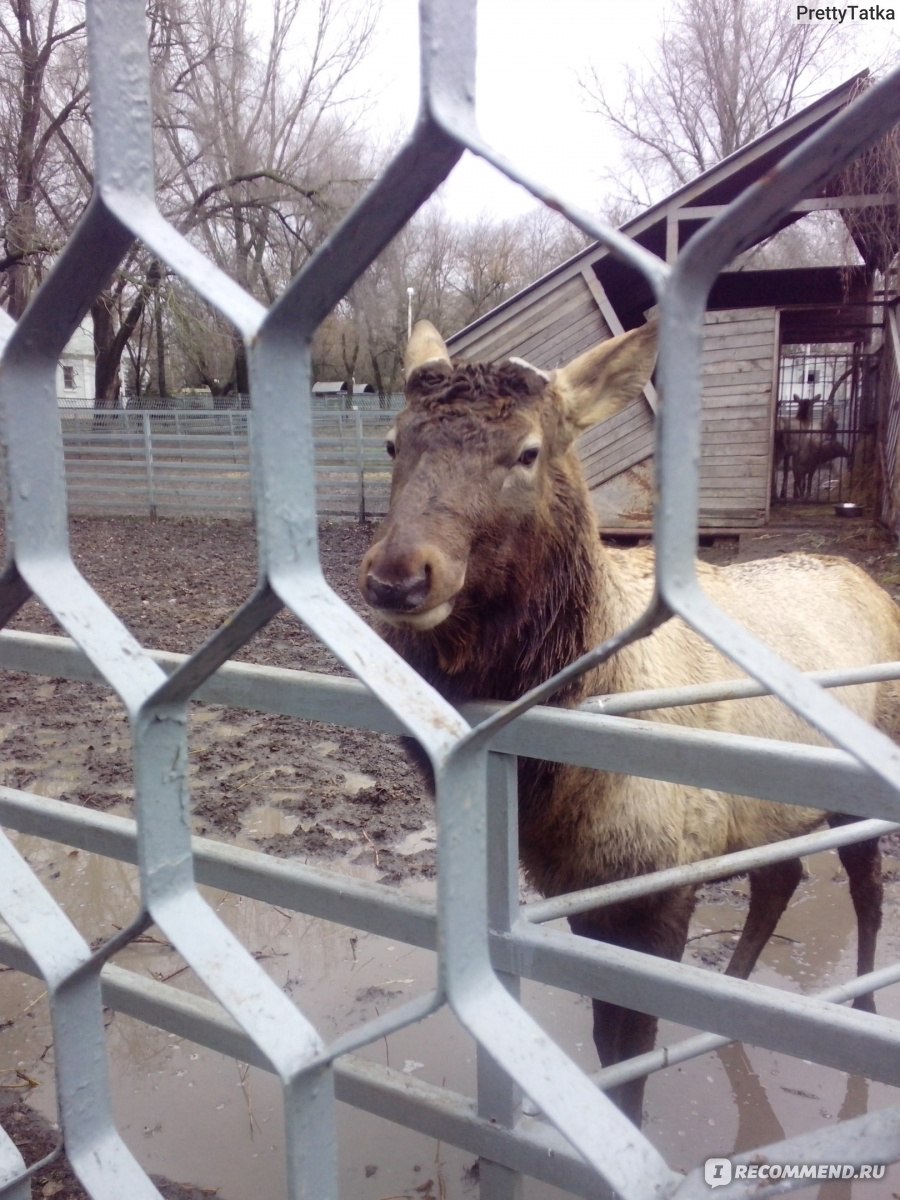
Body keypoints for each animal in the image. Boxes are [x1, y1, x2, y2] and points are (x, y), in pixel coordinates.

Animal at [360, 319, 900, 1123]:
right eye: (395, 442)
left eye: (528, 451)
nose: (398, 575)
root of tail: (869, 582)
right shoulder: (586, 881)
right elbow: (608, 1039)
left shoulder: (658, 878)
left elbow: (630, 1050)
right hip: (767, 808)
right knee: (781, 878)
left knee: (865, 886)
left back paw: (862, 1009)